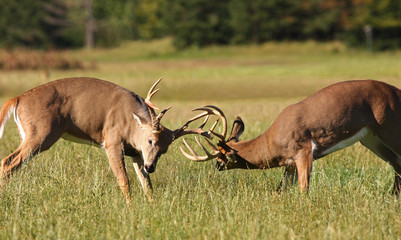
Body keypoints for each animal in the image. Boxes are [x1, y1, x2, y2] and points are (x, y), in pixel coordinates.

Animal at [0, 77, 212, 202]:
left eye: (165, 149)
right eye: (151, 140)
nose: (151, 166)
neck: (131, 123)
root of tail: (17, 99)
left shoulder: (136, 153)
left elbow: (146, 183)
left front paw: (152, 205)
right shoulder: (112, 142)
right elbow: (124, 180)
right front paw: (130, 207)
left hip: (28, 134)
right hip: (40, 134)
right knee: (9, 161)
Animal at [180, 80, 400, 195]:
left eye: (220, 155)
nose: (216, 166)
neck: (273, 142)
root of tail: (397, 91)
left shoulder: (303, 150)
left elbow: (304, 188)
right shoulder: (290, 163)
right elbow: (281, 189)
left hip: (389, 127)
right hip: (371, 138)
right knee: (396, 164)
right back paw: (392, 196)